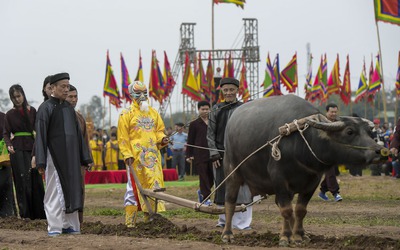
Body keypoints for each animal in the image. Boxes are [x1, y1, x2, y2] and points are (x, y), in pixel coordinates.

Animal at [222, 94, 388, 245]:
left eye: (369, 132)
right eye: (349, 131)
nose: (380, 151)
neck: (303, 140)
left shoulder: (313, 180)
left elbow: (300, 210)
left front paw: (299, 235)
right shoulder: (278, 178)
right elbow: (286, 209)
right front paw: (286, 237)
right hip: (232, 172)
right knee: (230, 202)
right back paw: (227, 234)